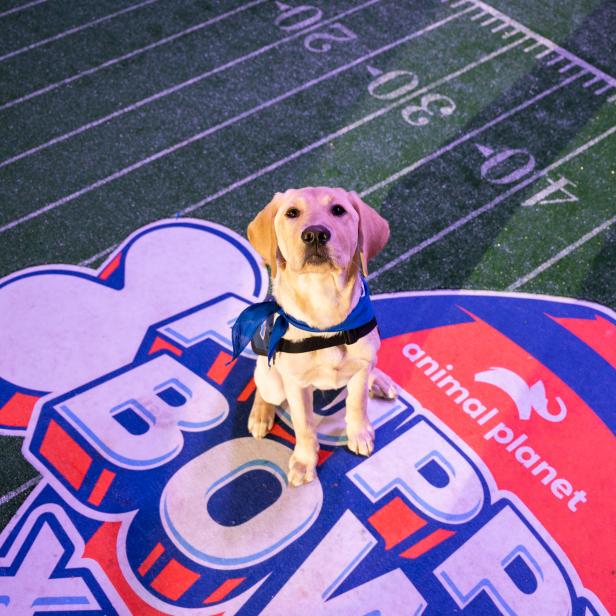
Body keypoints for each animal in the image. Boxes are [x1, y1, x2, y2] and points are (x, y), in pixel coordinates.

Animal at [233, 188, 398, 486]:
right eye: (292, 213)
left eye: (338, 210)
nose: (315, 234)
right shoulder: (296, 386)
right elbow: (304, 425)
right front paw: (304, 461)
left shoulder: (359, 370)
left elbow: (357, 404)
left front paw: (359, 434)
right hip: (272, 379)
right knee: (262, 386)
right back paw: (261, 415)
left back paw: (379, 380)